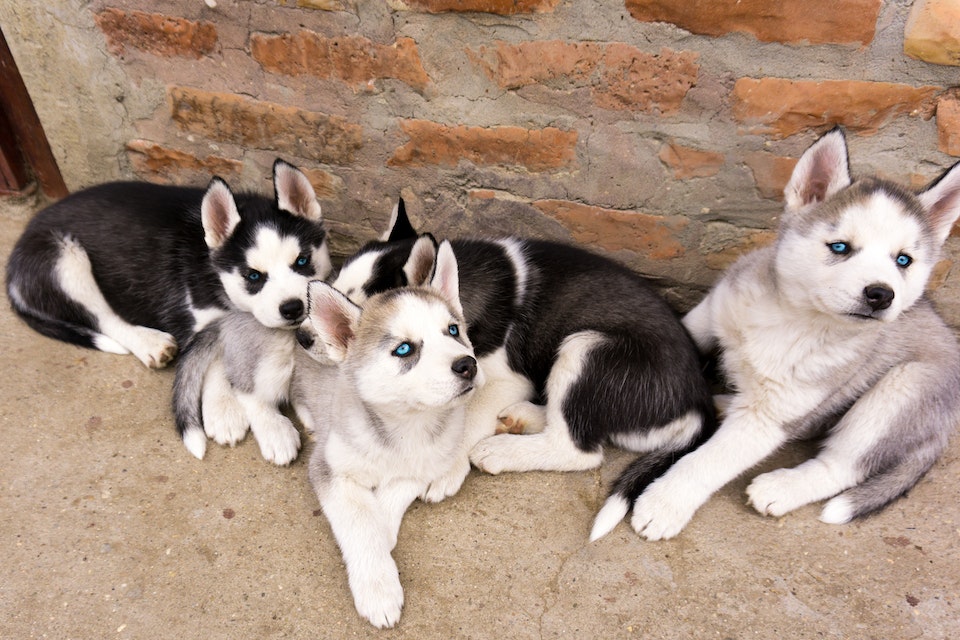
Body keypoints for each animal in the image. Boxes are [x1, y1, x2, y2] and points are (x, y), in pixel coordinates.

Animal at [5, 160, 332, 368]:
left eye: (302, 260)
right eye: (253, 276)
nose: (292, 308)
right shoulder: (199, 324)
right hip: (65, 257)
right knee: (102, 316)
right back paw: (149, 342)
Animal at [292, 238, 484, 628]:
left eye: (453, 330)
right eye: (404, 349)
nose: (468, 365)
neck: (405, 425)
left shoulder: (424, 464)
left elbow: (392, 496)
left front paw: (383, 528)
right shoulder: (330, 470)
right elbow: (360, 522)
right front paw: (378, 589)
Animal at [334, 202, 716, 508]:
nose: (315, 337)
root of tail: (697, 399)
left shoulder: (500, 377)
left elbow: (468, 416)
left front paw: (443, 470)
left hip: (585, 347)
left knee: (577, 449)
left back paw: (501, 450)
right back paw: (521, 417)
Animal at [588, 129, 960, 540]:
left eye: (903, 260)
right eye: (840, 247)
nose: (881, 294)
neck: (790, 318)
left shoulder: (769, 417)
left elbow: (708, 460)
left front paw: (664, 504)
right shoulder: (710, 312)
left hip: (900, 391)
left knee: (843, 465)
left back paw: (780, 488)